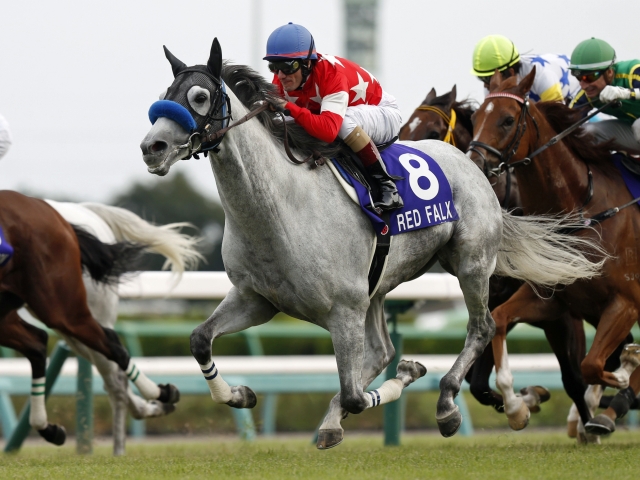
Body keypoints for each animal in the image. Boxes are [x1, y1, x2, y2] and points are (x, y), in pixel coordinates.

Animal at [0, 191, 180, 446]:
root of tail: (54, 213)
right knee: (39, 343)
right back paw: (50, 428)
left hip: (63, 308)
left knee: (111, 348)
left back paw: (161, 393)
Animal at [139, 38, 604, 450]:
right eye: (164, 96)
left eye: (199, 96)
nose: (152, 147)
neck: (278, 208)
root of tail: (471, 163)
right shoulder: (257, 299)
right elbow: (200, 339)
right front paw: (240, 394)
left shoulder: (343, 309)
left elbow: (356, 395)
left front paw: (412, 375)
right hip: (378, 285)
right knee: (382, 351)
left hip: (471, 262)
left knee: (481, 327)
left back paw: (448, 402)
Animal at [468, 68, 640, 438]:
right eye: (474, 118)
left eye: (507, 120)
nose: (472, 166)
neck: (581, 208)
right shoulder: (551, 297)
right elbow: (499, 321)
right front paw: (519, 408)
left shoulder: (625, 302)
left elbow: (592, 365)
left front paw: (622, 375)